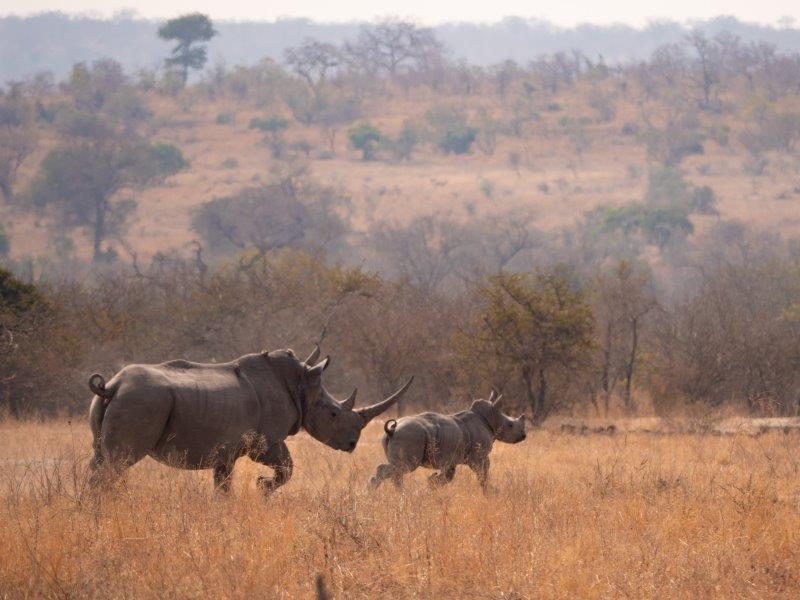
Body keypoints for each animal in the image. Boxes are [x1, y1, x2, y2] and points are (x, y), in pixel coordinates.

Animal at [89, 346, 412, 492]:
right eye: (333, 413)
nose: (352, 444)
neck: (301, 385)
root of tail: (113, 385)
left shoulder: (225, 451)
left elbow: (223, 485)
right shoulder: (266, 441)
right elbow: (287, 468)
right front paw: (262, 486)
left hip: (118, 401)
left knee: (100, 459)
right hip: (142, 401)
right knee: (118, 462)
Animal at [372, 392, 528, 490]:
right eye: (510, 425)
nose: (524, 435)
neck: (491, 419)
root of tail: (392, 430)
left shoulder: (451, 459)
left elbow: (447, 477)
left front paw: (431, 485)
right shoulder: (479, 456)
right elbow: (483, 475)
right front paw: (490, 492)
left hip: (398, 436)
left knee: (397, 470)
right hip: (409, 436)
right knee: (404, 467)